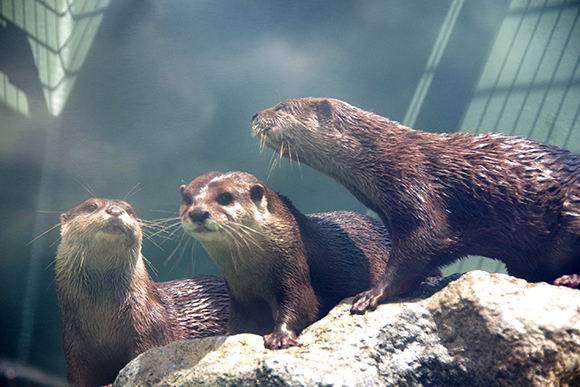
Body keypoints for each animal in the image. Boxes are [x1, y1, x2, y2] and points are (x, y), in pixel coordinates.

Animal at [55, 200, 229, 387]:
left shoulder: (150, 326)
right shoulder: (73, 344)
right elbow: (77, 374)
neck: (103, 318)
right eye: (91, 206)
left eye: (128, 209)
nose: (115, 210)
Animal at [179, 171, 392, 350]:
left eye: (225, 197)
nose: (198, 213)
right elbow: (238, 326)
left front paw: (279, 337)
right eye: (187, 199)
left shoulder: (293, 268)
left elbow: (302, 305)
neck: (254, 276)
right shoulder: (239, 297)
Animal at [251, 98, 580, 316]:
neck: (387, 159)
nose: (254, 114)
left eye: (281, 107)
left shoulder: (417, 188)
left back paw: (569, 278)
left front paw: (370, 295)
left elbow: (420, 246)